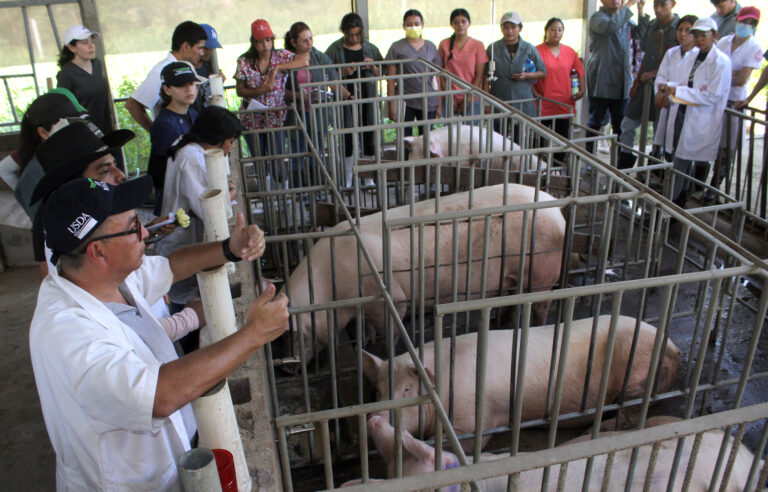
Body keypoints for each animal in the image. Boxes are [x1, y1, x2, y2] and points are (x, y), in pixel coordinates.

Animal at [283, 184, 565, 363]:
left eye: (297, 333)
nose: (287, 369)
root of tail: (558, 212)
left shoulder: (392, 298)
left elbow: (390, 330)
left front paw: (384, 351)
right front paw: (366, 341)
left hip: (542, 271)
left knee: (541, 306)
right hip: (513, 275)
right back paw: (500, 320)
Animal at [363, 315, 681, 450]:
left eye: (407, 390)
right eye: (378, 390)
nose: (374, 417)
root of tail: (674, 346)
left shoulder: (476, 417)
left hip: (639, 371)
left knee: (629, 415)